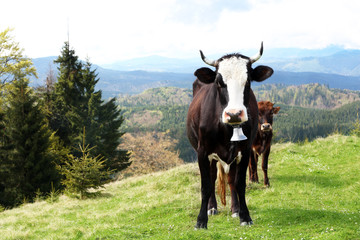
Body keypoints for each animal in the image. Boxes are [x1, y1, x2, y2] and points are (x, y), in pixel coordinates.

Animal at [186, 43, 272, 229]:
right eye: (219, 82)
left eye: (248, 81)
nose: (234, 114)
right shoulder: (202, 152)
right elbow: (206, 186)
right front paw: (201, 221)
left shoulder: (244, 151)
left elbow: (239, 183)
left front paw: (244, 216)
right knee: (212, 178)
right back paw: (212, 208)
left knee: (231, 180)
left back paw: (235, 209)